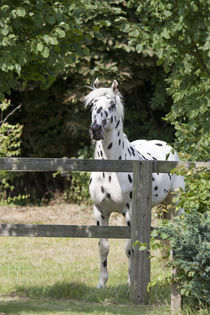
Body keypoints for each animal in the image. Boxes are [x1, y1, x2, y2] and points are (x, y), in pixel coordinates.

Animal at [83, 78, 184, 288]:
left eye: (112, 104)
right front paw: (102, 283)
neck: (111, 170)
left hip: (176, 204)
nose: (95, 130)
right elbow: (103, 247)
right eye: (93, 105)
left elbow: (130, 247)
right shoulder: (100, 212)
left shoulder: (129, 212)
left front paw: (131, 281)